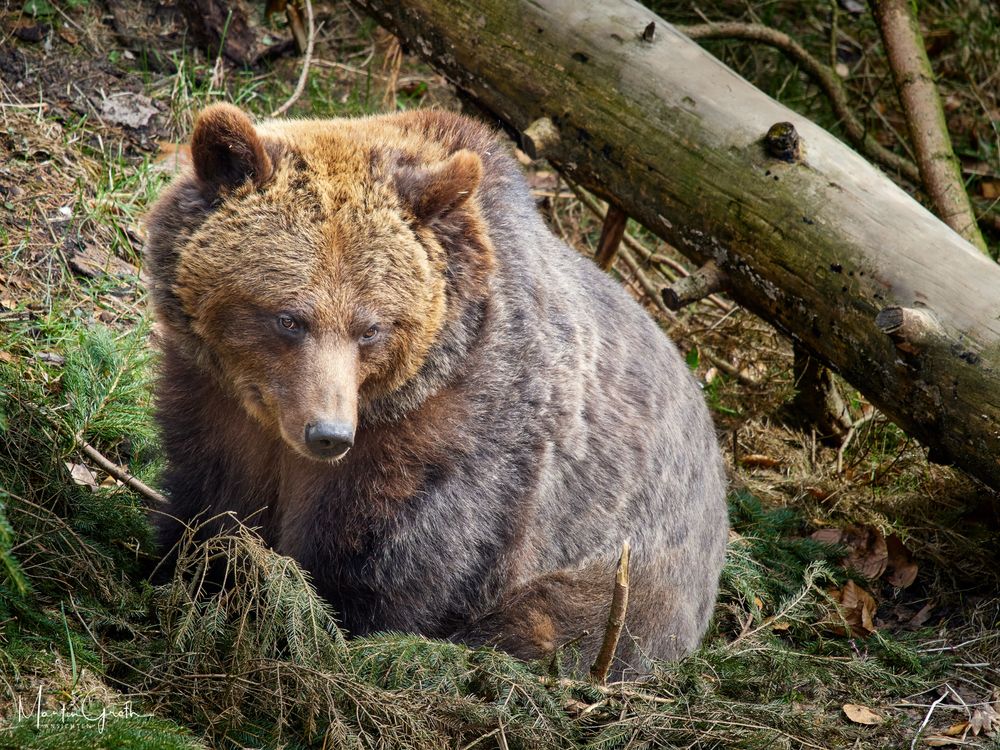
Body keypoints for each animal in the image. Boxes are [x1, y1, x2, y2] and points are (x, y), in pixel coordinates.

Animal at [145, 103, 728, 680]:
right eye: (289, 318)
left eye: (370, 328)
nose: (328, 433)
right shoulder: (216, 401)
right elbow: (213, 503)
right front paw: (194, 576)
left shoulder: (461, 432)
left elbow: (404, 556)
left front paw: (341, 627)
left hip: (638, 571)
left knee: (557, 621)